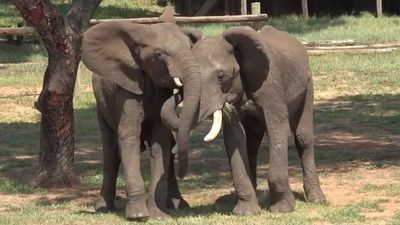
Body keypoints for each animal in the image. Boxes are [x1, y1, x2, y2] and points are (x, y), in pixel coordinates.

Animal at [79, 8, 202, 220]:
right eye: (158, 54)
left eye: (190, 47)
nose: (179, 89)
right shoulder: (126, 90)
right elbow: (128, 136)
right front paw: (137, 215)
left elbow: (161, 141)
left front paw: (158, 215)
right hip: (101, 106)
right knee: (111, 150)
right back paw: (103, 207)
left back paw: (179, 206)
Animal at [161, 24, 326, 214]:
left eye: (221, 77)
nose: (181, 174)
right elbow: (235, 137)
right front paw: (246, 212)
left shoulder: (271, 86)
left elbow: (278, 131)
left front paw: (282, 209)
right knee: (252, 143)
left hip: (308, 84)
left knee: (302, 138)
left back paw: (317, 199)